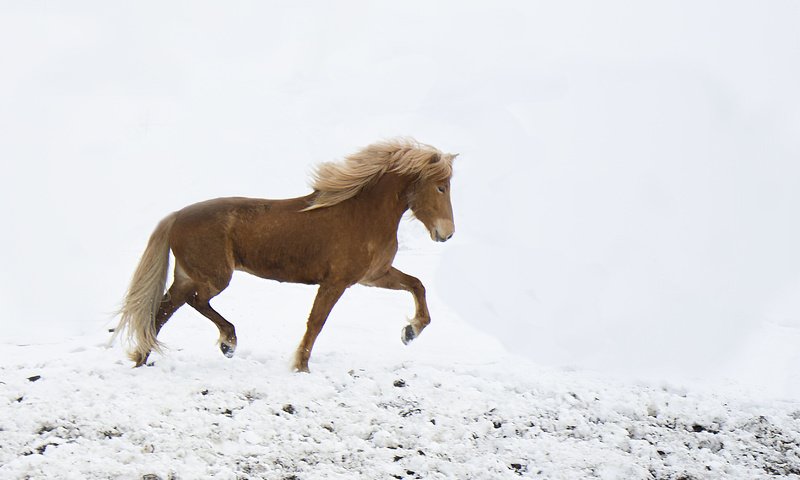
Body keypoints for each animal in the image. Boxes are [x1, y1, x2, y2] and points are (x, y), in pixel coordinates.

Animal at [111, 139, 456, 372]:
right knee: (193, 302)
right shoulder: (336, 282)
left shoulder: (374, 276)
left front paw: (411, 332)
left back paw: (142, 356)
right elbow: (316, 322)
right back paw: (227, 342)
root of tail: (176, 217)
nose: (447, 233)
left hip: (188, 275)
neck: (362, 214)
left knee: (163, 309)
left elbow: (417, 284)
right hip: (214, 277)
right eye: (441, 187)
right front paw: (301, 366)